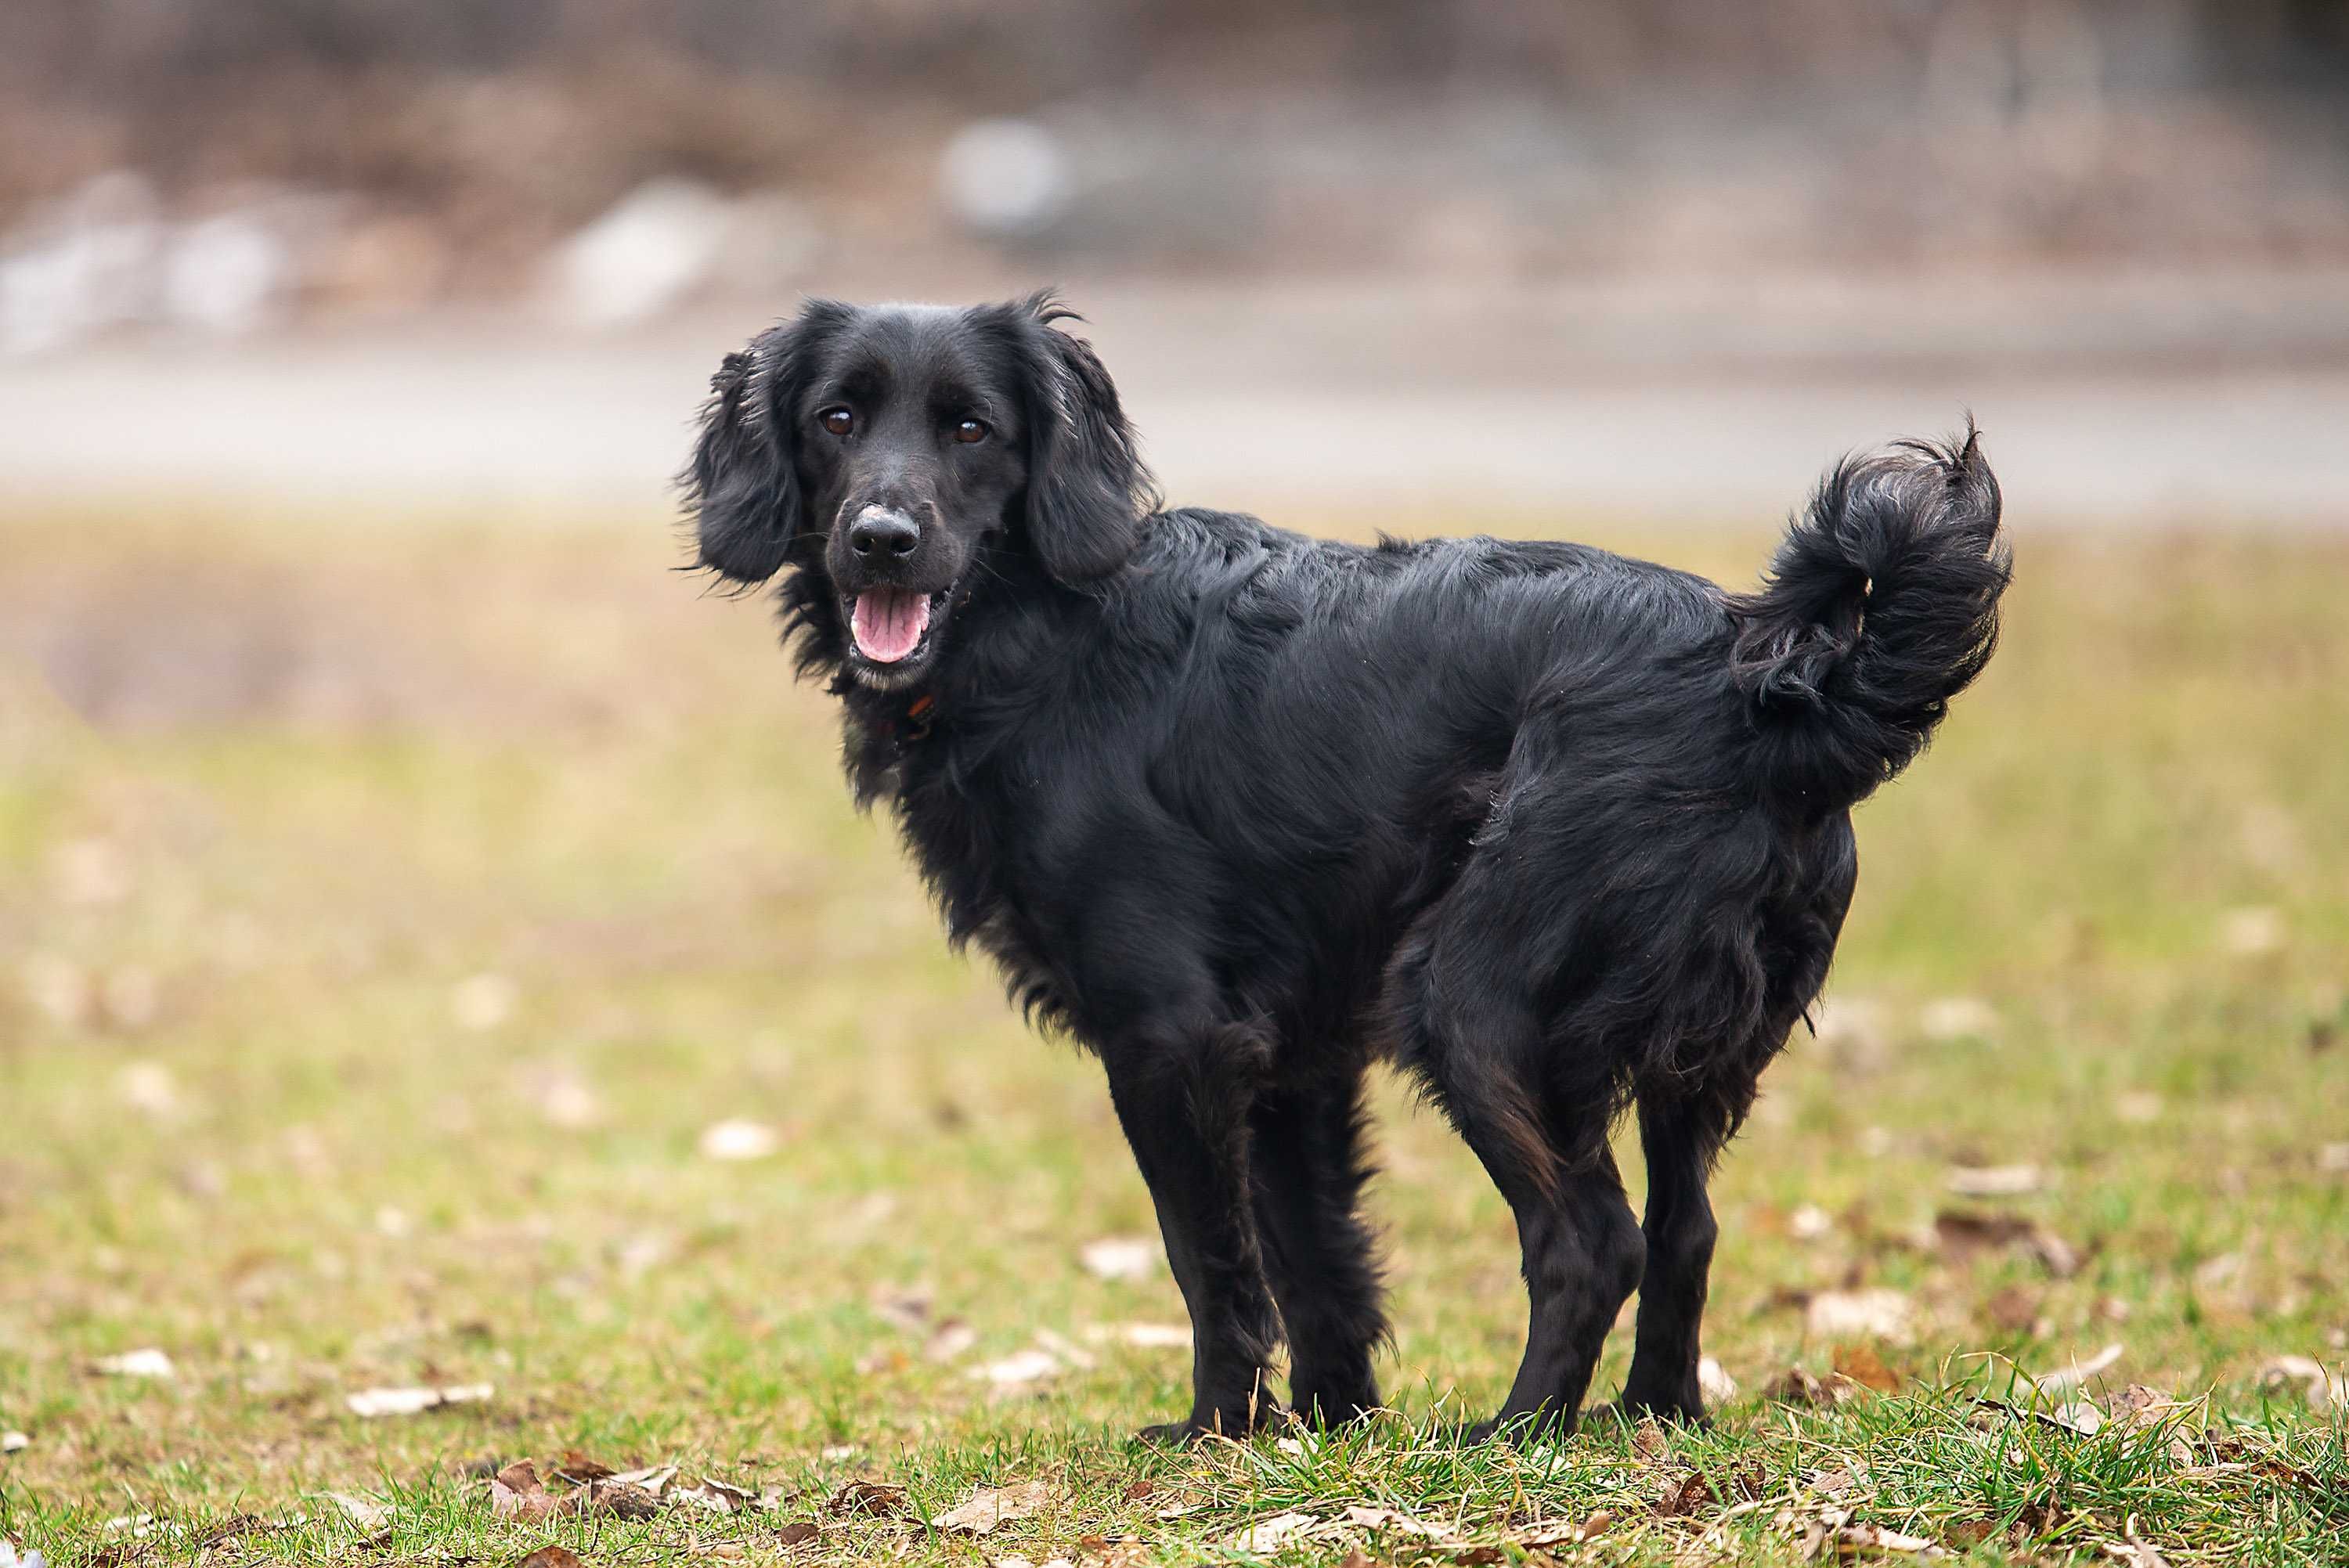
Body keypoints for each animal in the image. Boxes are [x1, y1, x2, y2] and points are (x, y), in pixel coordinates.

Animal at [681, 293, 2001, 1446]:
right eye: (837, 419)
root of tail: (1770, 686)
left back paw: (1516, 1434)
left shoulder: (1172, 1036)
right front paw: (1330, 1425)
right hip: (1689, 1045)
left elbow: (1213, 1260)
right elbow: (1316, 1259)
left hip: (1476, 1001)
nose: (881, 540)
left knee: (1594, 1239)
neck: (1044, 631)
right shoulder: (1292, 1051)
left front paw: (1216, 1431)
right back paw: (1652, 1415)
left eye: (971, 429)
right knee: (1689, 1228)